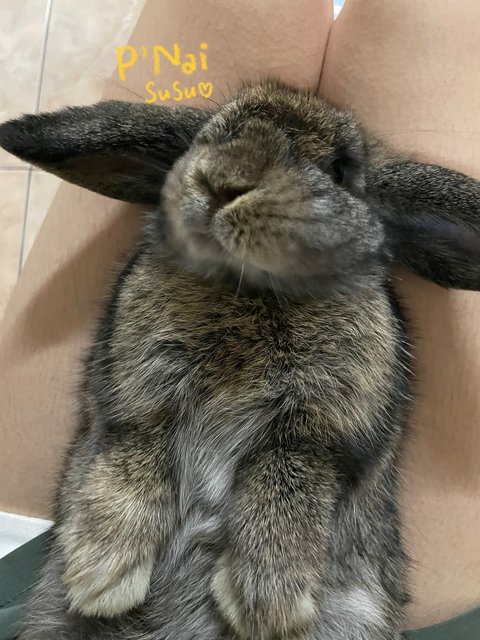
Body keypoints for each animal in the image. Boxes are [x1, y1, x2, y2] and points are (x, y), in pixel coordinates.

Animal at [0, 81, 480, 640]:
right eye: (208, 138)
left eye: (339, 171)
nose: (220, 184)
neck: (251, 285)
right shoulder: (135, 392)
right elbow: (133, 453)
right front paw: (99, 575)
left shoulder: (325, 430)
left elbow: (286, 481)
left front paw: (263, 606)